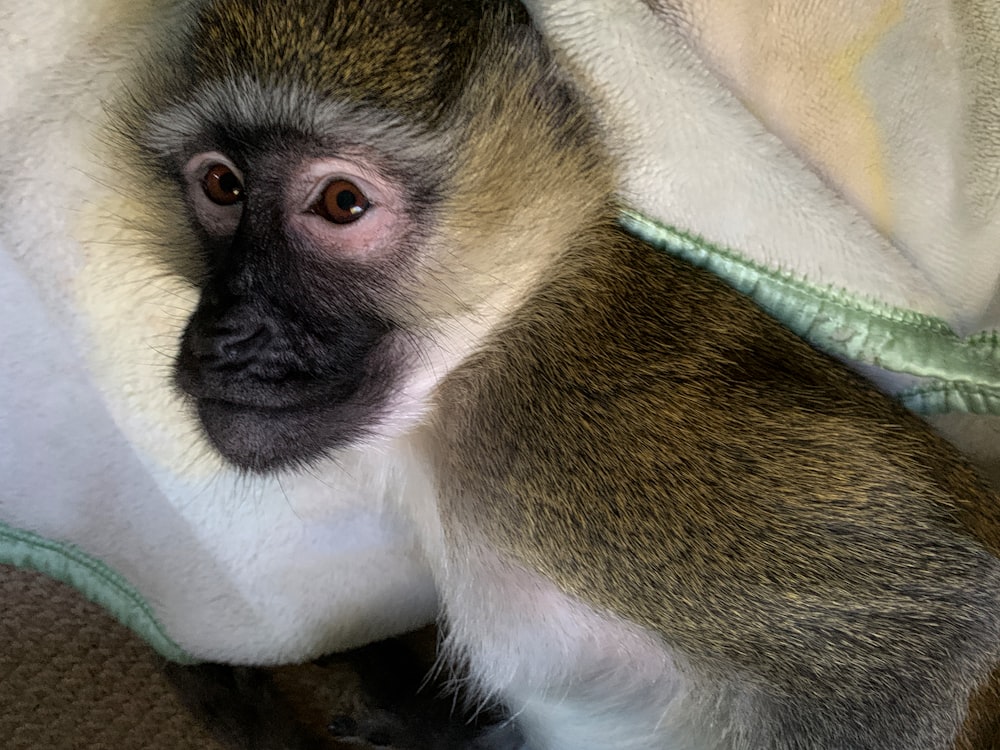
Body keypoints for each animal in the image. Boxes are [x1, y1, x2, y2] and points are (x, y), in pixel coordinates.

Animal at [117, 0, 1000, 748]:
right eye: (222, 184)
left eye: (340, 202)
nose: (221, 335)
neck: (481, 350)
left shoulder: (584, 436)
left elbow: (943, 635)